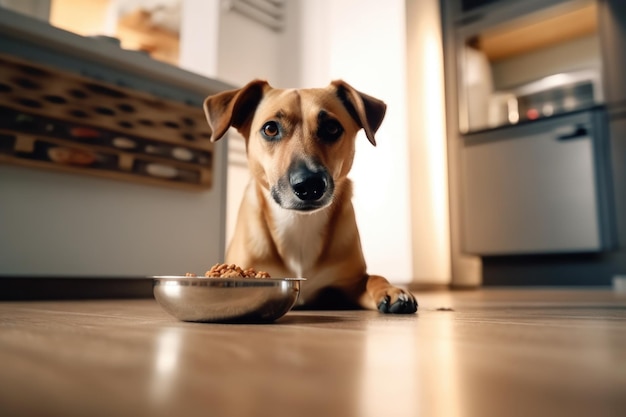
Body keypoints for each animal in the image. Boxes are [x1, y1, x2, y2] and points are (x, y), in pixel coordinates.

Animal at [202, 79, 416, 312]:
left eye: (332, 127)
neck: (298, 222)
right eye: (270, 128)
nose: (309, 184)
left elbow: (373, 277)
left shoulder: (349, 284)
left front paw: (392, 289)